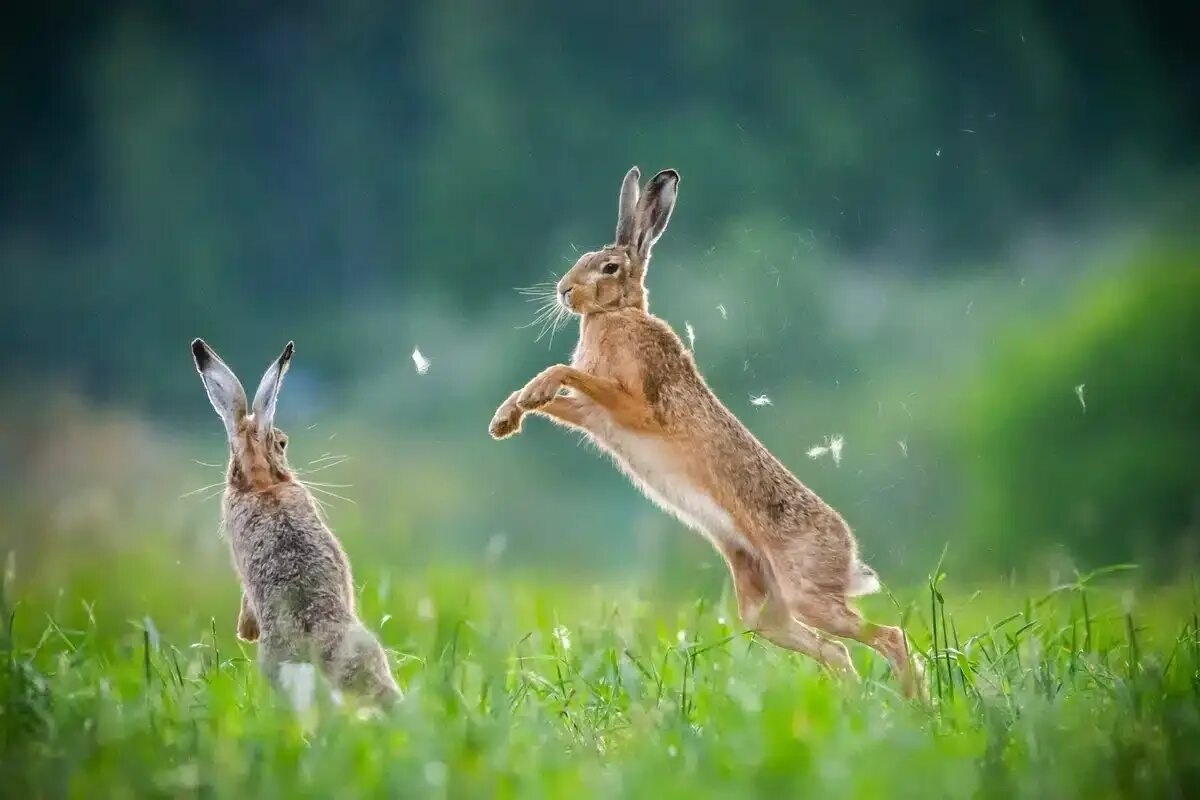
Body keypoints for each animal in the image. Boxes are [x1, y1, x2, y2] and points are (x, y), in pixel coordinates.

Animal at [489, 167, 922, 697]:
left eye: (609, 268)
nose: (564, 291)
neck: (616, 315)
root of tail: (848, 553)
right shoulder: (594, 415)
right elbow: (560, 399)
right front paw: (507, 417)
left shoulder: (637, 404)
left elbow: (568, 374)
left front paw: (529, 396)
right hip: (762, 604)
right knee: (836, 650)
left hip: (807, 593)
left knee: (889, 636)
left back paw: (915, 705)